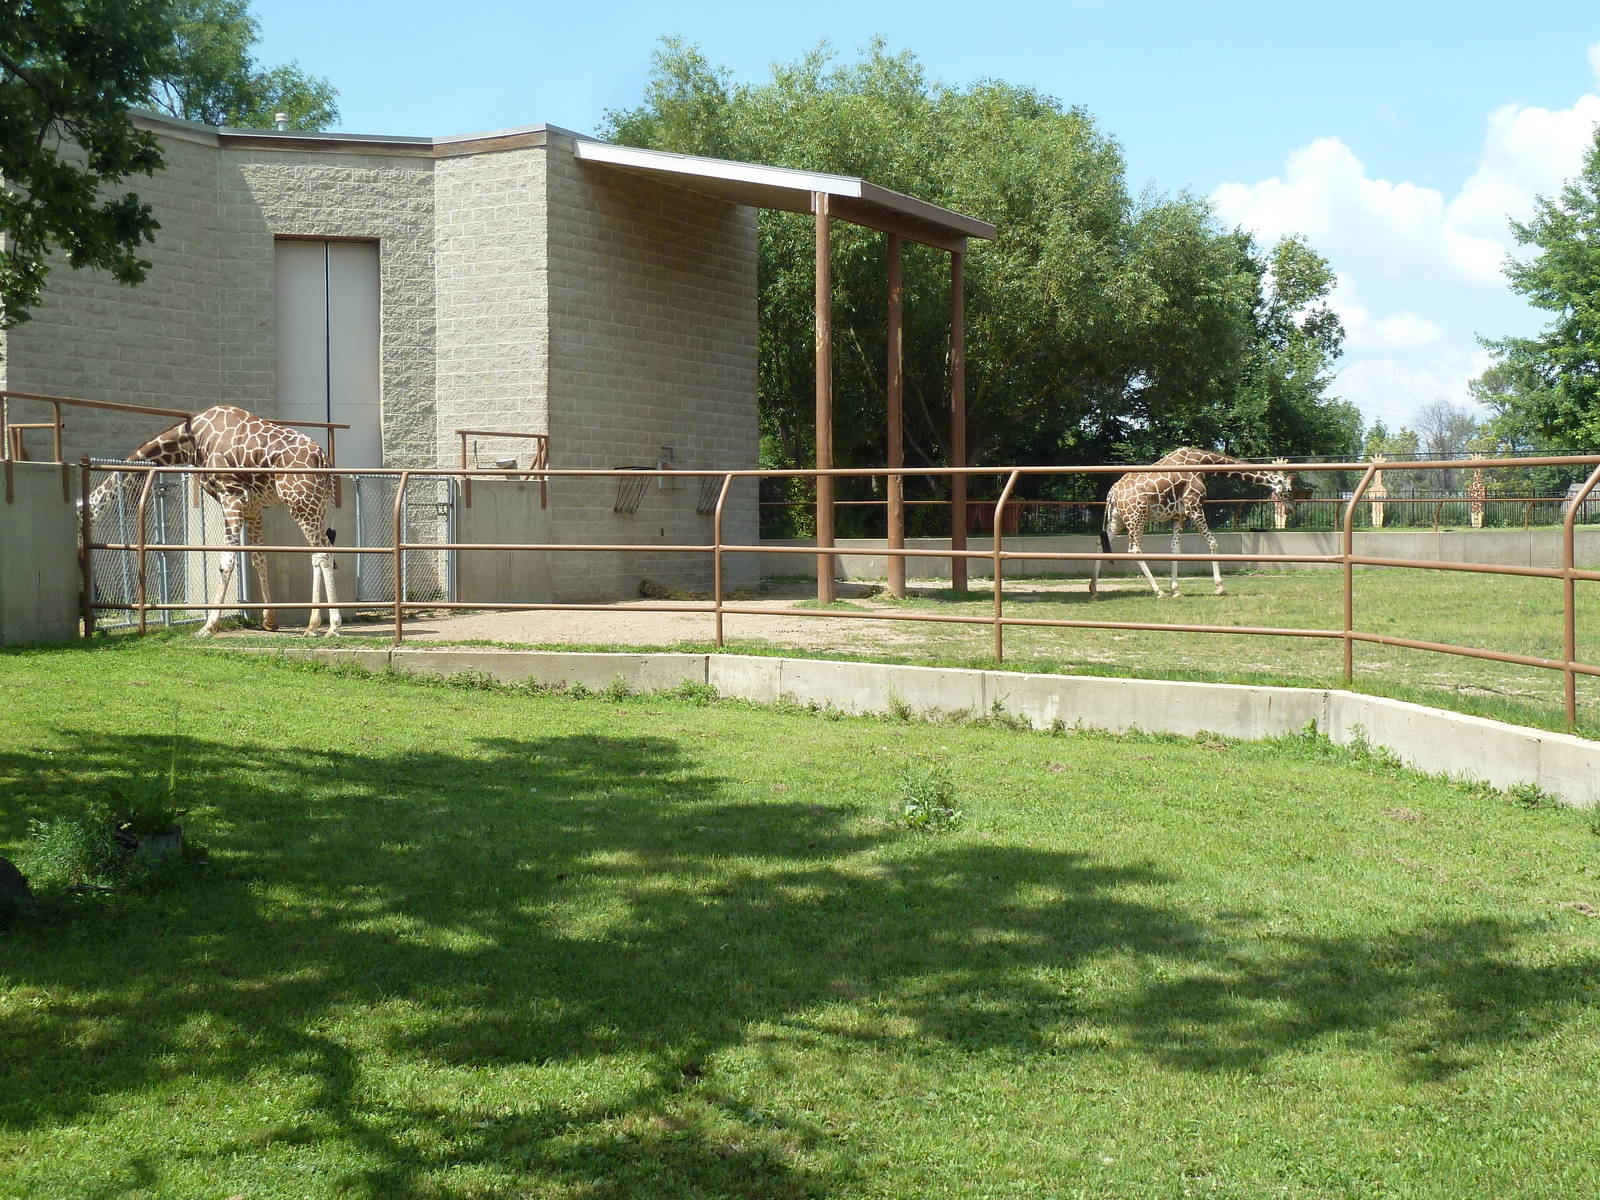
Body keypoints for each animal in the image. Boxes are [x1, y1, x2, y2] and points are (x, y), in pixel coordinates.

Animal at [89, 405, 340, 636]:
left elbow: (226, 562)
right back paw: (315, 626)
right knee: (320, 551)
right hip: (314, 505)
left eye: (88, 516)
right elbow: (259, 558)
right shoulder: (253, 506)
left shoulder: (232, 496)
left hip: (300, 503)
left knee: (322, 553)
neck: (190, 443)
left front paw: (208, 625)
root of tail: (322, 458)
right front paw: (269, 620)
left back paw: (329, 626)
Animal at [1089, 447, 1296, 599]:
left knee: (1100, 542)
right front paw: (1219, 587)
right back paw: (1158, 591)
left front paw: (1176, 589)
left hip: (1117, 519)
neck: (1202, 463)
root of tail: (1112, 494)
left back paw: (1094, 589)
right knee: (1134, 550)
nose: (1292, 509)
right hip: (1136, 517)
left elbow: (1175, 550)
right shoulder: (1194, 506)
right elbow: (1213, 542)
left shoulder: (1179, 516)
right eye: (1289, 489)